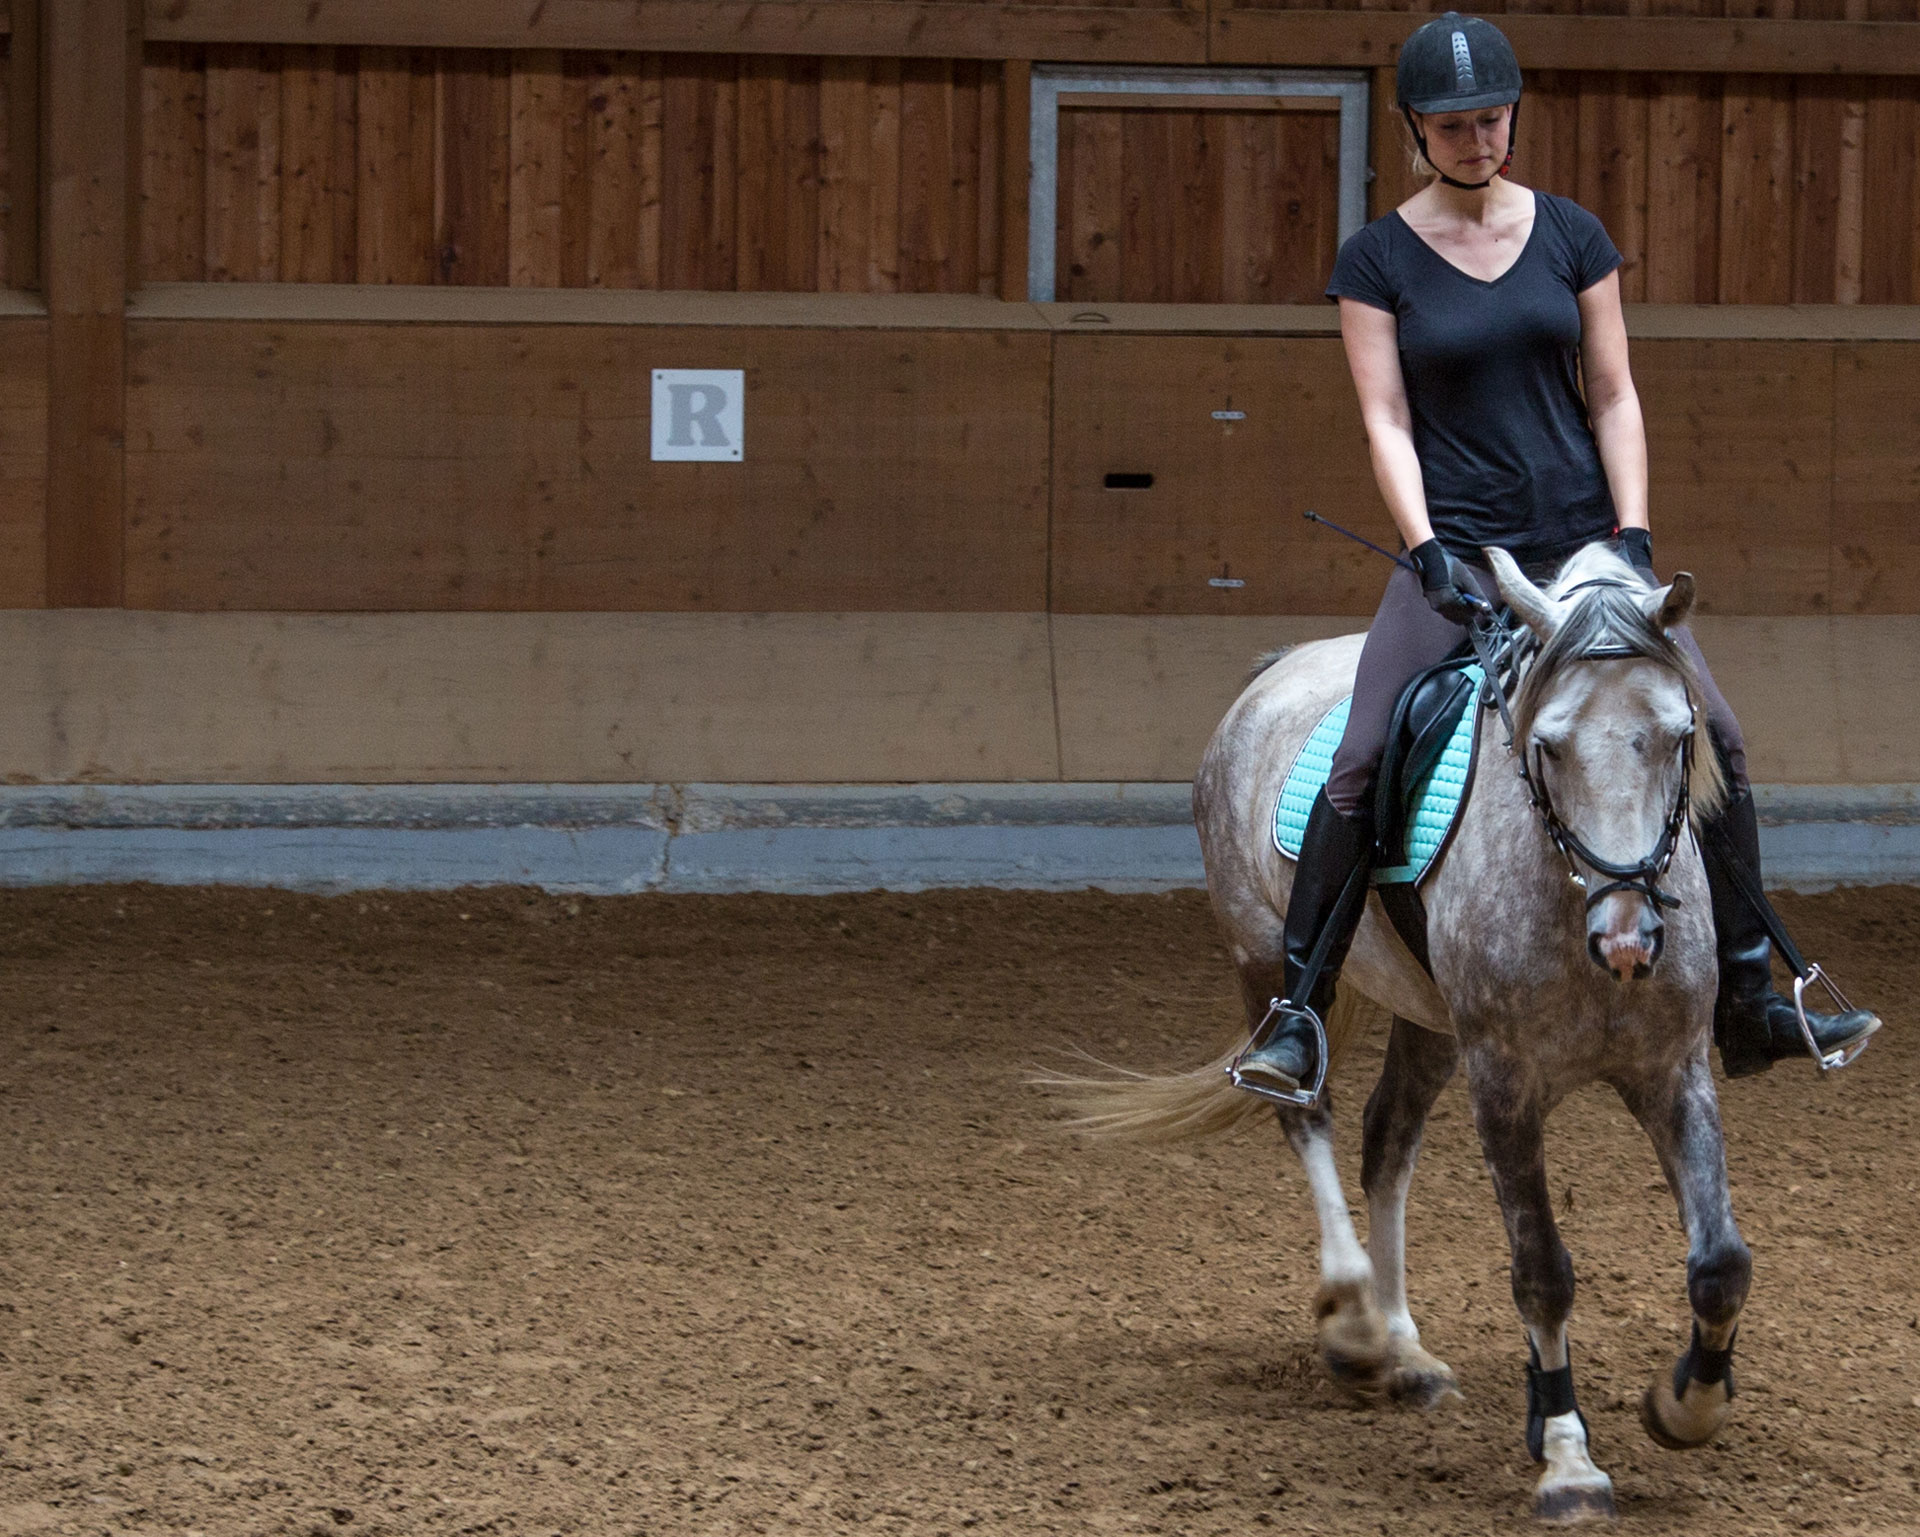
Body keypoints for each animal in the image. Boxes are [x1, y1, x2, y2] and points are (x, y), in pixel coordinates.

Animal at [1067, 544, 1758, 1519]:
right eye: (1548, 745)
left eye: (1676, 735)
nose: (1628, 940)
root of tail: (1275, 667)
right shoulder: (1503, 1081)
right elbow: (1541, 1268)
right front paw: (1567, 1458)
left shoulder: (1671, 1068)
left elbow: (1721, 1261)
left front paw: (1685, 1403)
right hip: (1261, 960)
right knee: (1306, 1114)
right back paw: (1358, 1323)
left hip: (1429, 1019)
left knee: (1386, 1134)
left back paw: (1404, 1347)